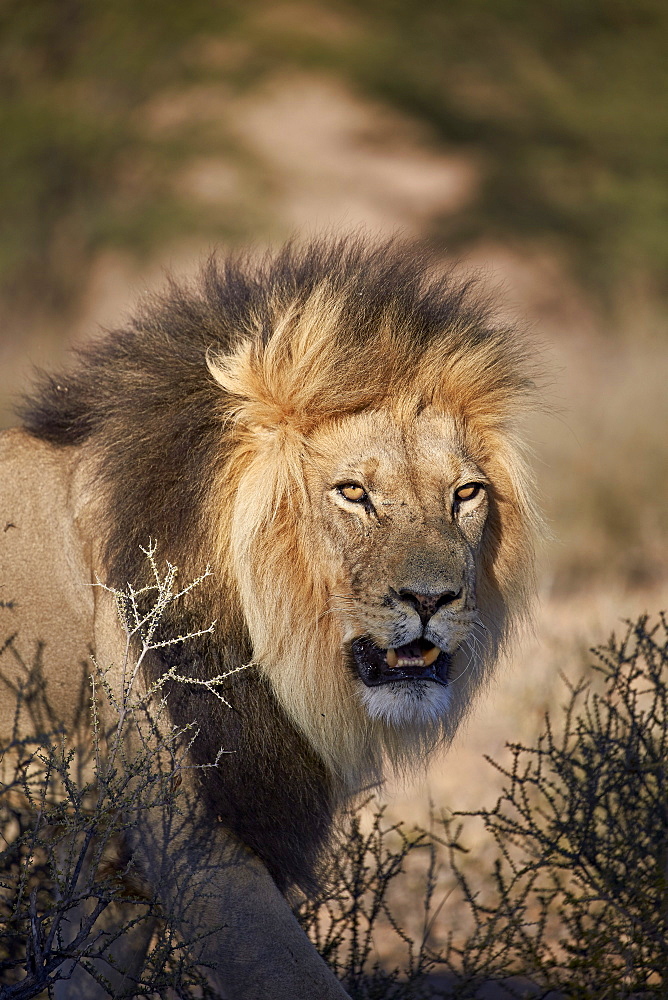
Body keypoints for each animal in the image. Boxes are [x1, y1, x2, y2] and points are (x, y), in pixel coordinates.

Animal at [0, 238, 540, 996]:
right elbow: (294, 977)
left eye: (465, 493)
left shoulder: (111, 865)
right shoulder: (192, 841)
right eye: (353, 492)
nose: (432, 600)